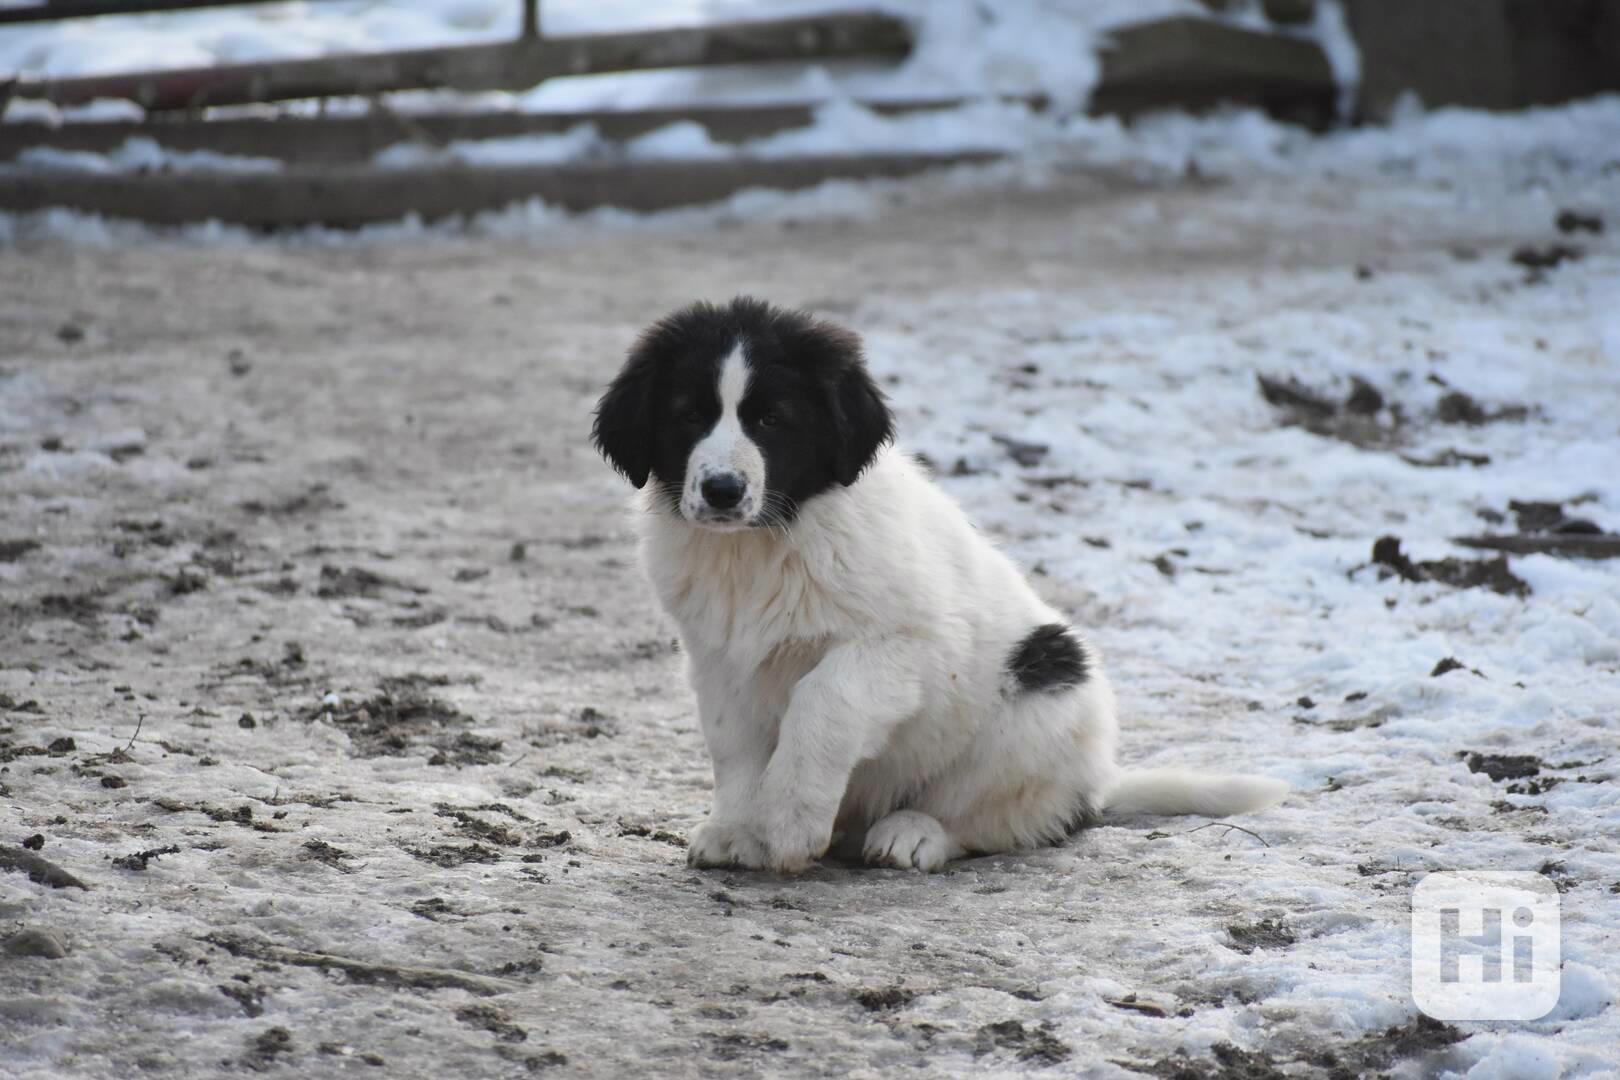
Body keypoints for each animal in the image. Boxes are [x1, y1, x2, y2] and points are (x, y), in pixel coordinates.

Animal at [589, 299, 1283, 874]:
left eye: (771, 419)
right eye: (688, 416)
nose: (722, 490)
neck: (764, 544)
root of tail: (1097, 784)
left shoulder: (909, 644)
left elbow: (823, 698)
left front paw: (786, 821)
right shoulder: (720, 657)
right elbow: (732, 743)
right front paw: (738, 827)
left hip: (1036, 699)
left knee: (997, 818)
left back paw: (913, 833)